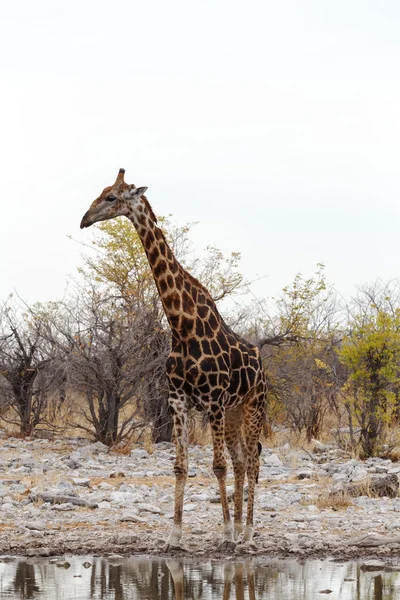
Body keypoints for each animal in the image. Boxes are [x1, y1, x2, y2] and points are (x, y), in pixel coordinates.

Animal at [79, 168, 268, 548]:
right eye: (101, 192)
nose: (84, 219)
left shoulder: (212, 402)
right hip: (236, 410)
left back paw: (248, 534)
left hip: (253, 405)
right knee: (242, 460)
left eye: (111, 197)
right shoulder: (178, 400)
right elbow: (181, 467)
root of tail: (264, 367)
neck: (182, 327)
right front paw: (175, 536)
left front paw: (226, 533)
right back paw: (243, 527)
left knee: (252, 461)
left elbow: (217, 466)